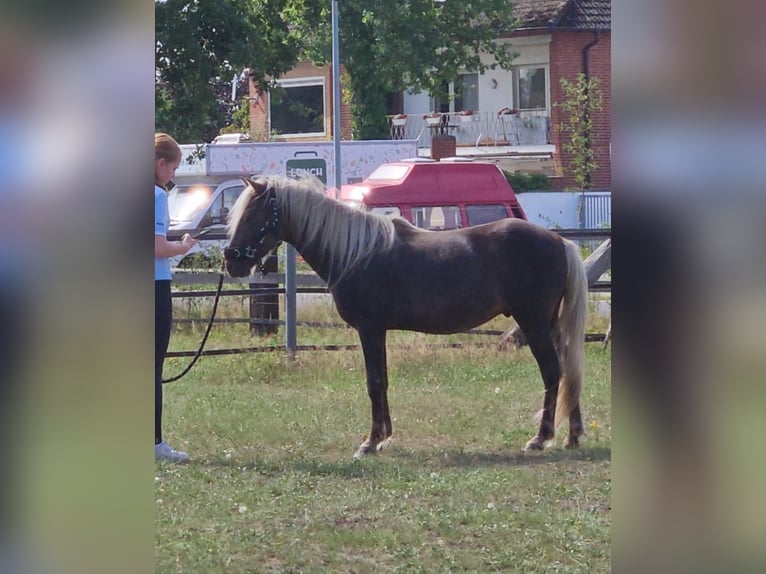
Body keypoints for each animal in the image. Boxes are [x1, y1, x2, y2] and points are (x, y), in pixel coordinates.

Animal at [224, 175, 588, 458]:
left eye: (253, 216)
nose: (231, 261)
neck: (355, 252)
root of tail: (559, 241)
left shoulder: (370, 329)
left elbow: (374, 381)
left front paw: (370, 442)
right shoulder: (378, 331)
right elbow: (382, 380)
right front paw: (383, 436)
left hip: (534, 324)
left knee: (552, 371)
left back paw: (541, 438)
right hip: (550, 326)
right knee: (568, 369)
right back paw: (572, 435)